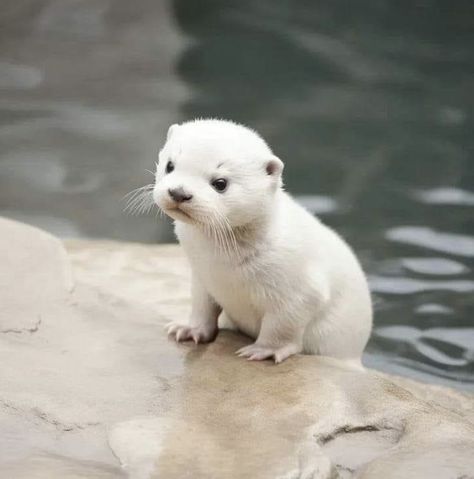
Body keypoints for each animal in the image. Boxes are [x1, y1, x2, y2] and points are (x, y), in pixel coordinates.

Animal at [154, 119, 372, 364]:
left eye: (220, 183)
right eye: (170, 165)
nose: (178, 193)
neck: (224, 265)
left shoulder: (298, 282)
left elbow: (284, 322)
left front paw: (263, 350)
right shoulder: (202, 274)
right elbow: (202, 305)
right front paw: (188, 330)